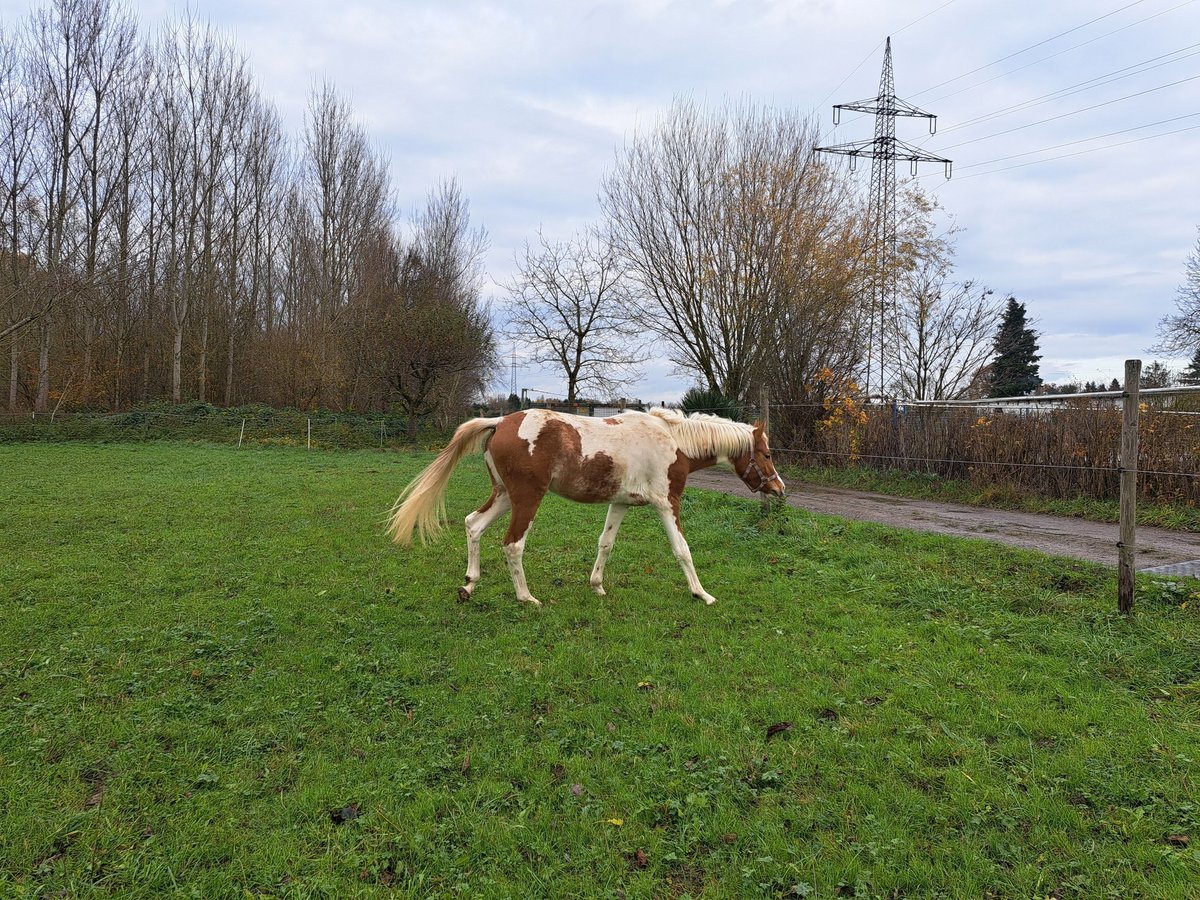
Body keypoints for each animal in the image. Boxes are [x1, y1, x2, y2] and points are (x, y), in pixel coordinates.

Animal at [384, 408, 787, 607]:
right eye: (767, 454)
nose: (780, 489)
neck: (673, 441)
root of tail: (501, 421)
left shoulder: (621, 503)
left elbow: (605, 544)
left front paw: (597, 586)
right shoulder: (666, 503)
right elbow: (682, 550)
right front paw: (702, 594)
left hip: (503, 495)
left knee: (473, 524)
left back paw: (469, 585)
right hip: (527, 499)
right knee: (513, 544)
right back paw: (526, 598)